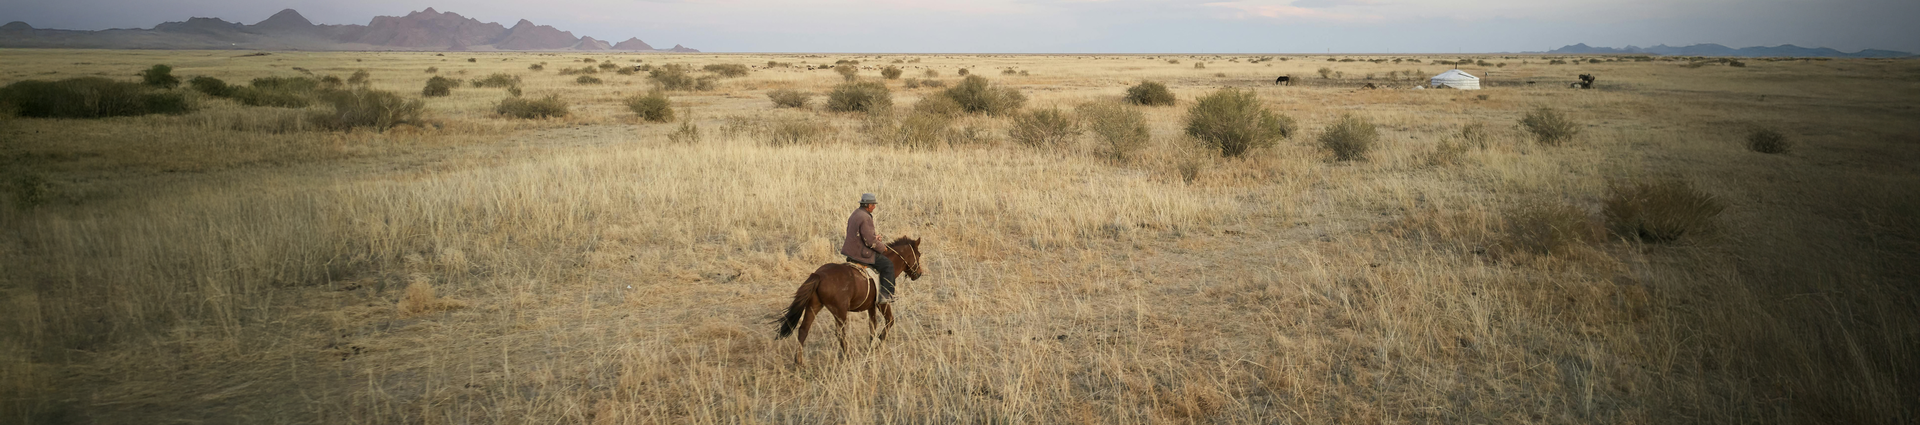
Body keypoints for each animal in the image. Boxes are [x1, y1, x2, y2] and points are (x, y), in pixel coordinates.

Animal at [773, 237, 925, 365]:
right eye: (918, 255)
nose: (919, 274)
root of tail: (819, 275)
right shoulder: (883, 303)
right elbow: (889, 321)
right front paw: (878, 345)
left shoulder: (871, 306)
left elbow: (872, 327)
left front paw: (871, 346)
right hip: (840, 311)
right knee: (840, 333)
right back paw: (848, 356)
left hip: (813, 306)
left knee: (804, 330)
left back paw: (799, 362)